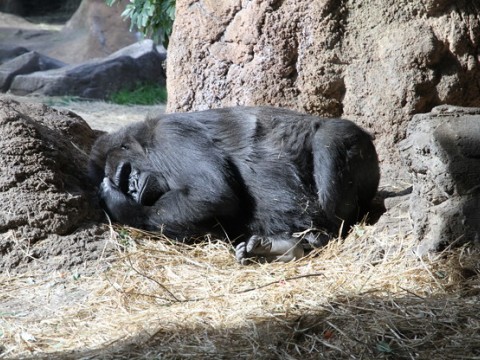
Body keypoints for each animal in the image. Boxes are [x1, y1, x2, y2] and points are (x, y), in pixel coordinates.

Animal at [88, 105, 380, 262]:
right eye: (125, 182)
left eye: (125, 173)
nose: (132, 189)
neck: (145, 143)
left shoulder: (170, 136)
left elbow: (212, 193)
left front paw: (119, 204)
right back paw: (283, 248)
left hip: (356, 144)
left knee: (328, 143)